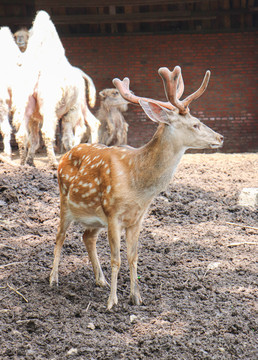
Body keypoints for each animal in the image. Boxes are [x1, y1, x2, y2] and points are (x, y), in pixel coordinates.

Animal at [50, 65, 224, 310]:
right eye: (195, 124)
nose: (220, 137)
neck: (139, 186)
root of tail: (65, 155)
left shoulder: (137, 218)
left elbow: (133, 256)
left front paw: (136, 297)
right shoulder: (113, 213)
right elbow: (116, 258)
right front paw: (112, 302)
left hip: (95, 216)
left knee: (87, 236)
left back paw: (100, 279)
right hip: (65, 200)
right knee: (59, 236)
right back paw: (53, 279)